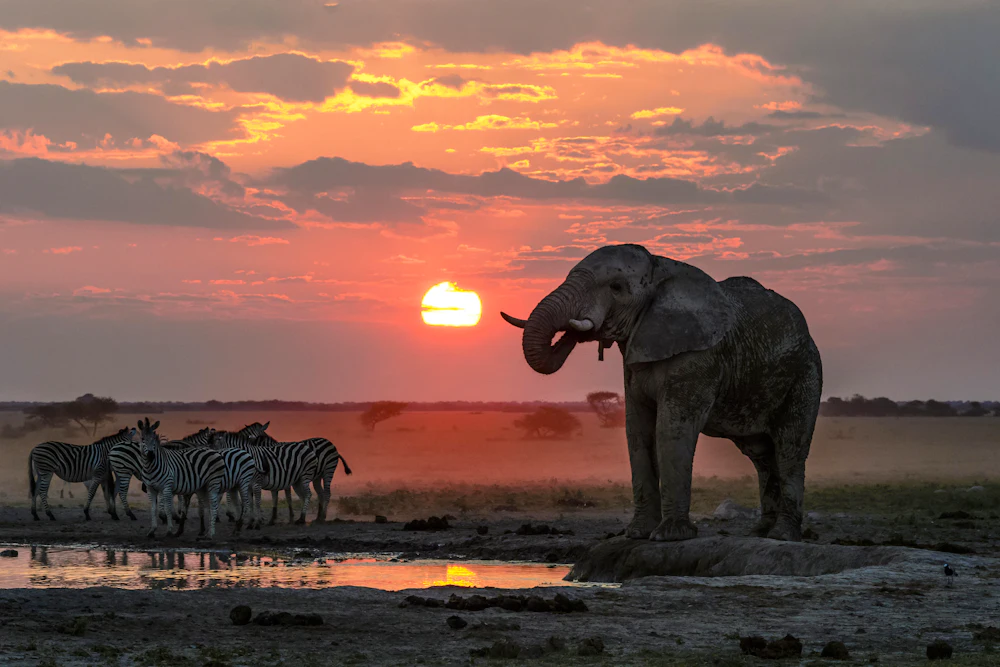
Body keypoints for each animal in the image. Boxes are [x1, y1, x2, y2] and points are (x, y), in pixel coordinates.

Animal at [501, 243, 822, 542]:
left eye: (616, 287)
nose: (575, 331)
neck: (660, 268)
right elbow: (637, 430)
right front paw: (637, 534)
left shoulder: (698, 357)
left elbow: (671, 429)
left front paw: (669, 536)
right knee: (761, 454)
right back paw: (761, 532)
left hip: (806, 374)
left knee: (789, 447)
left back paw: (782, 535)